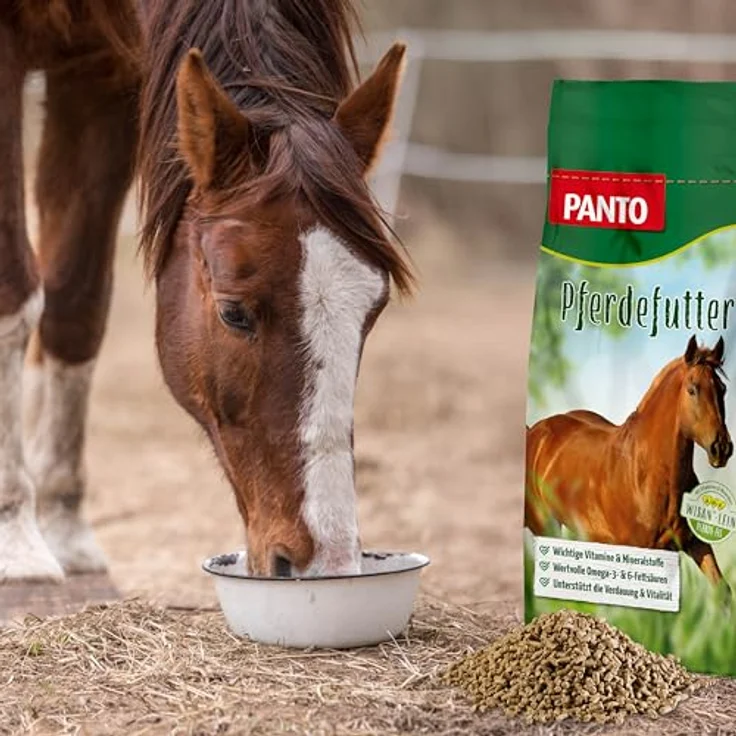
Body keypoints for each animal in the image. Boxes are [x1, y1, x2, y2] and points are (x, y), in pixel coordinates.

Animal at [0, 0, 411, 582]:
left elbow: (77, 305)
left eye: (372, 310)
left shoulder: (101, 73)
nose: (326, 564)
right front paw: (16, 539)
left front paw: (63, 528)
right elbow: (14, 290)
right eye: (233, 313)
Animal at [526, 336, 733, 591]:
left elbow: (723, 590)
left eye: (722, 389)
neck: (646, 476)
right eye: (692, 389)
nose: (721, 448)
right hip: (545, 526)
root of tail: (535, 432)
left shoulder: (695, 543)